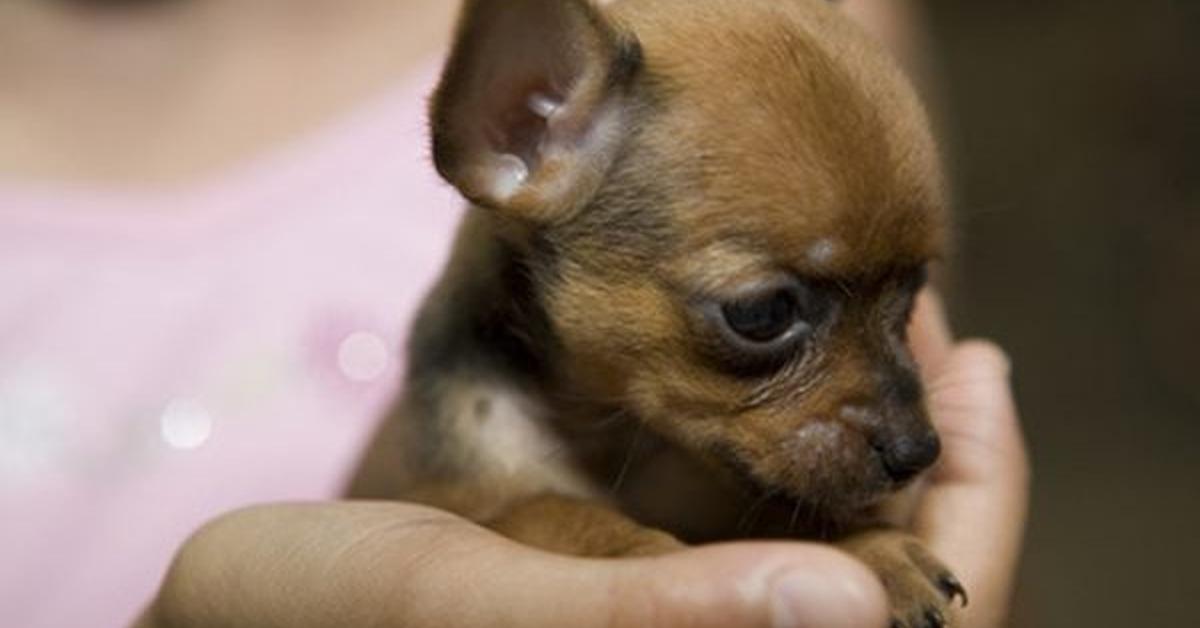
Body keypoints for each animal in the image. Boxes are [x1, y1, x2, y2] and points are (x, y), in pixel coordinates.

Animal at [350, 1, 964, 624]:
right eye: (762, 313)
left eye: (912, 297)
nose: (919, 451)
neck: (614, 433)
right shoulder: (475, 500)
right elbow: (554, 514)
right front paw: (637, 548)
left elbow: (779, 500)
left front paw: (865, 547)